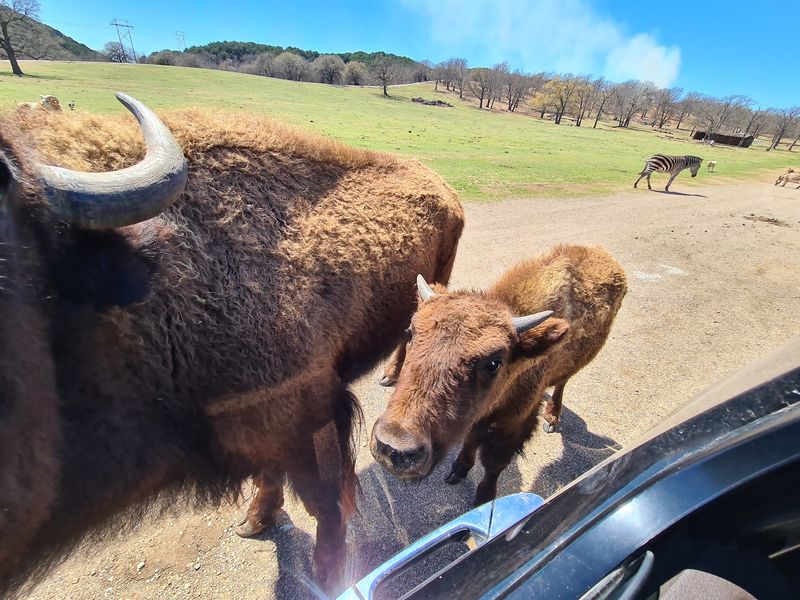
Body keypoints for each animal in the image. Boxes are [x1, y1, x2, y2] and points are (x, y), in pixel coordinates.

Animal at [0, 93, 463, 595]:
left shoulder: (312, 413)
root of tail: (443, 186)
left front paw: (327, 575)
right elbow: (273, 475)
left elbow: (324, 505)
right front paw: (254, 521)